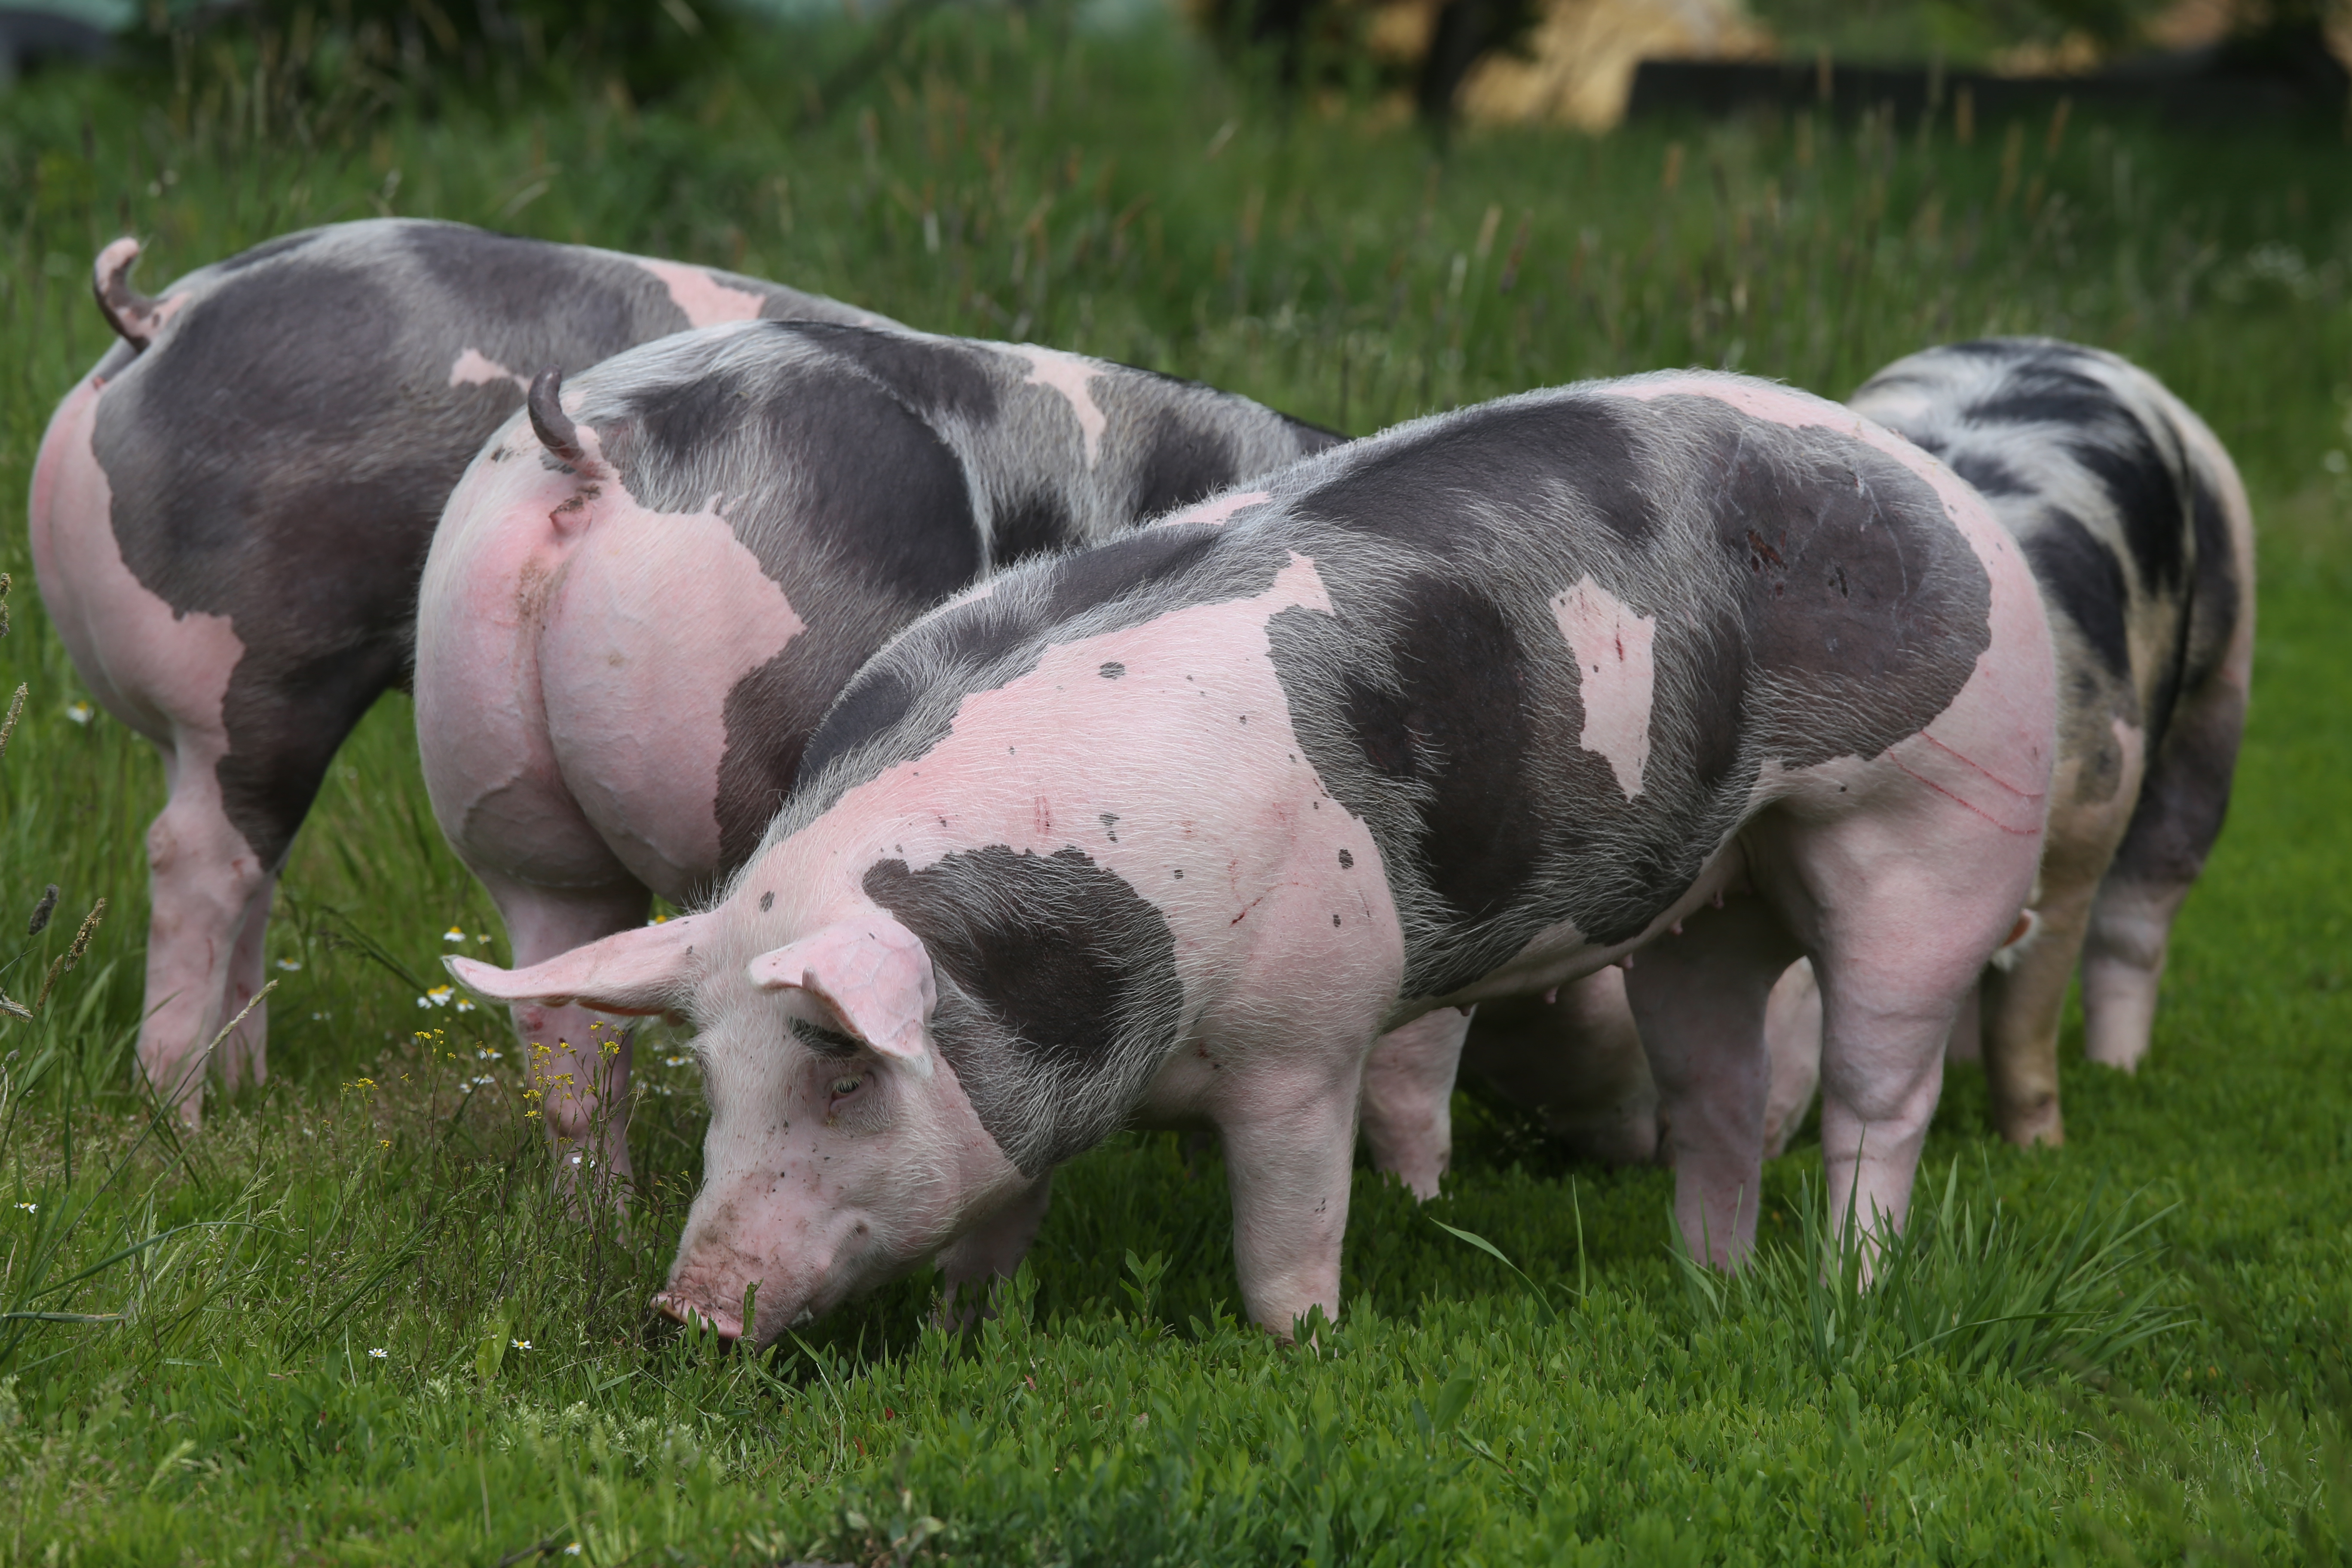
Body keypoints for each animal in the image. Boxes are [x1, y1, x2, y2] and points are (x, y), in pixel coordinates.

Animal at [27, 219, 886, 1123]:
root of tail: (157, 313)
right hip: (257, 675)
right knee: (193, 854)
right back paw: (178, 1115)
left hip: (200, 717)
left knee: (252, 865)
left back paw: (245, 1089)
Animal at [1452, 339, 2254, 1160]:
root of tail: (2053, 344)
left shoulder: (2087, 814)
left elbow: (2027, 1013)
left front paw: (2038, 1149)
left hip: (2222, 676)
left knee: (2143, 909)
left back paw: (2118, 1070)